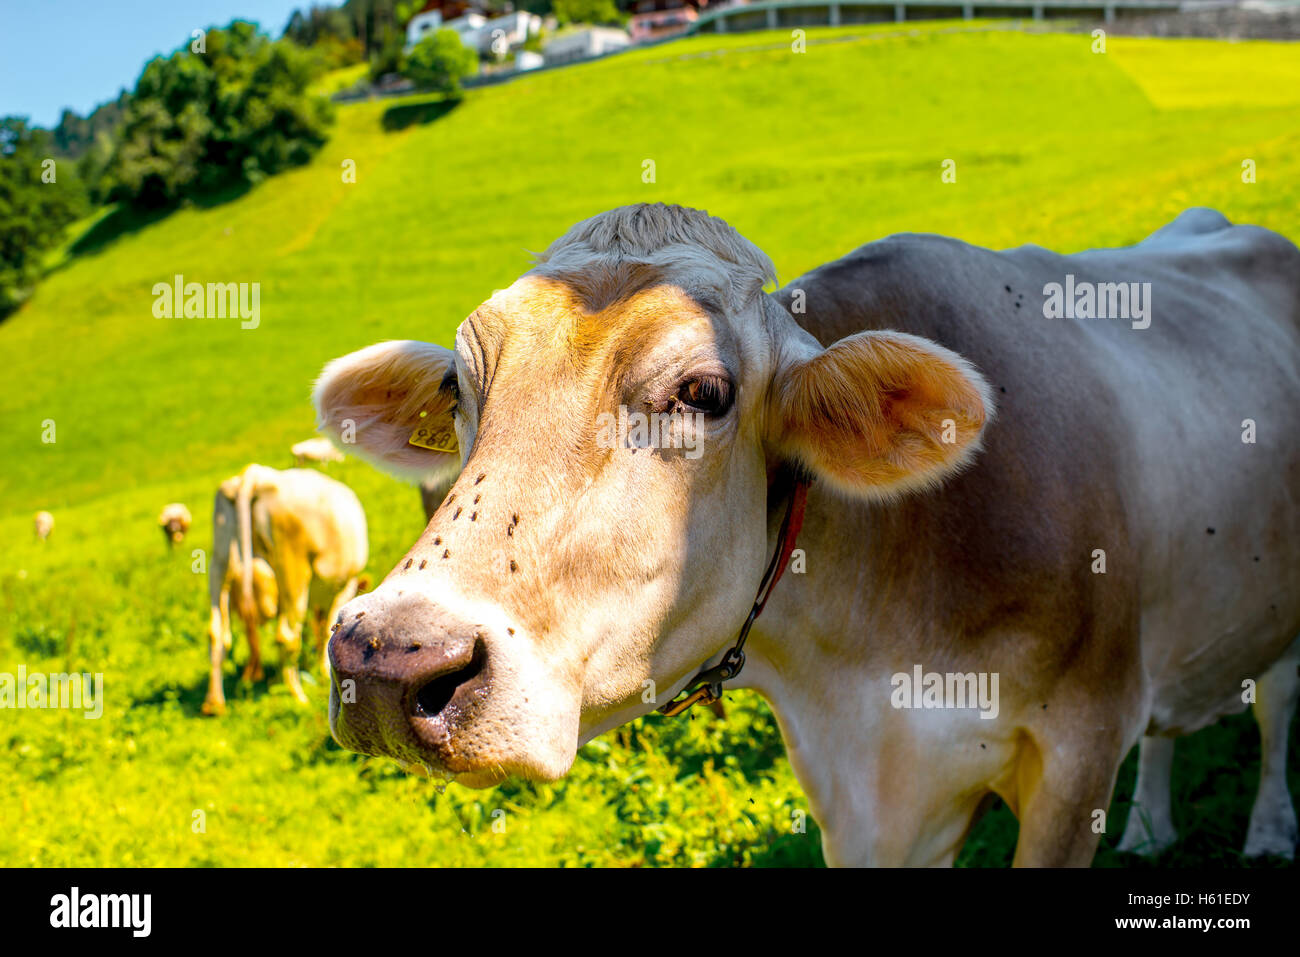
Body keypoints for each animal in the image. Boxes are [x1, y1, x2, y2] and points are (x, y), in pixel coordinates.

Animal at [203, 464, 369, 716]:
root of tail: (256, 475)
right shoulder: (345, 586)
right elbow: (329, 631)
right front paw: (324, 673)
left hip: (220, 565)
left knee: (217, 634)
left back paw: (214, 703)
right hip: (293, 570)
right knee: (287, 635)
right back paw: (298, 697)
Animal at [311, 204, 1300, 866]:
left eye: (703, 392)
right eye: (456, 387)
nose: (388, 658)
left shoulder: (1078, 752)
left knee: (1275, 707)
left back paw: (1266, 829)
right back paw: (1151, 827)